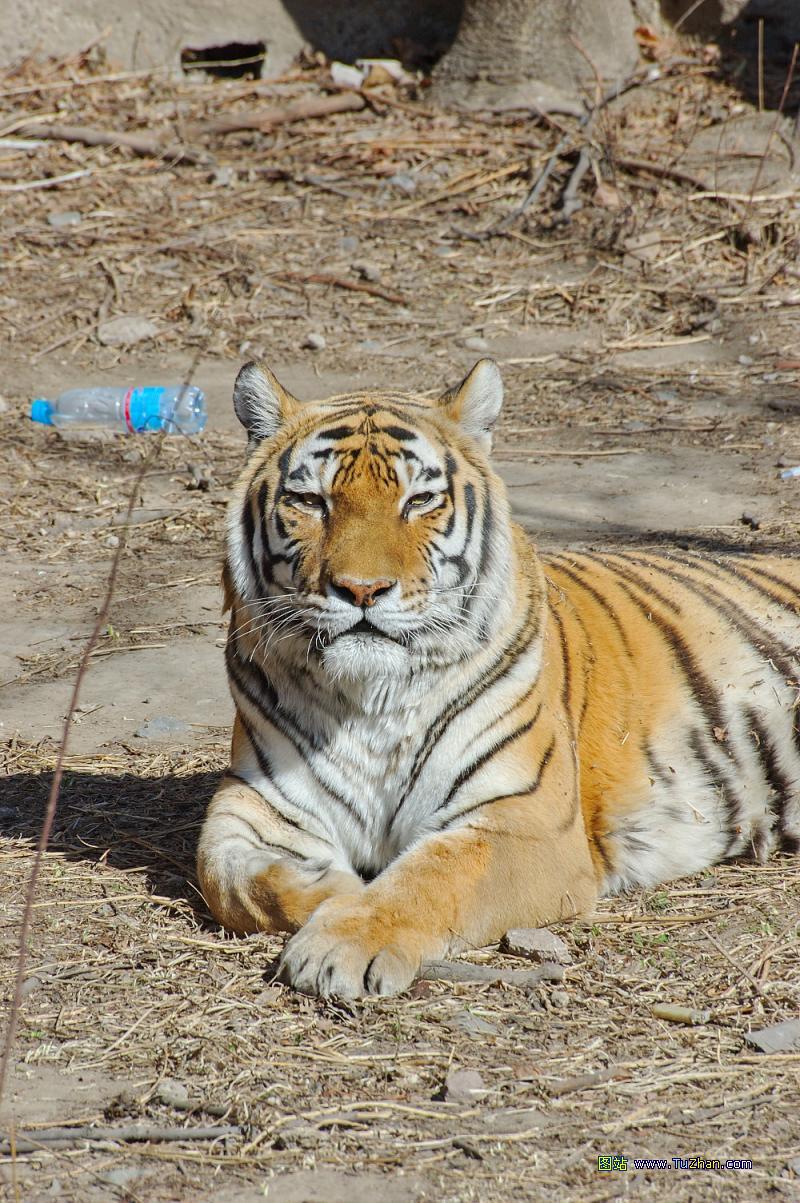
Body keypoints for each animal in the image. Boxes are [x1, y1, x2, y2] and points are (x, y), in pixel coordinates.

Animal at [194, 360, 798, 1000]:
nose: (362, 590)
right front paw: (335, 894)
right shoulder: (254, 802)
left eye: (419, 500)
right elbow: (228, 876)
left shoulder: (525, 821)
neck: (369, 701)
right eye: (310, 501)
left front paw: (341, 939)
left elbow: (431, 878)